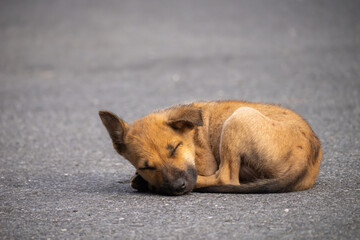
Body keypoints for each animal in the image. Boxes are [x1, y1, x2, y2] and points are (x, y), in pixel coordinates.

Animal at [98, 100, 320, 196]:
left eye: (175, 148)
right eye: (146, 167)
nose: (178, 187)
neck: (193, 137)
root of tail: (307, 153)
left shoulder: (205, 165)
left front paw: (145, 183)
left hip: (239, 118)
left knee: (226, 178)